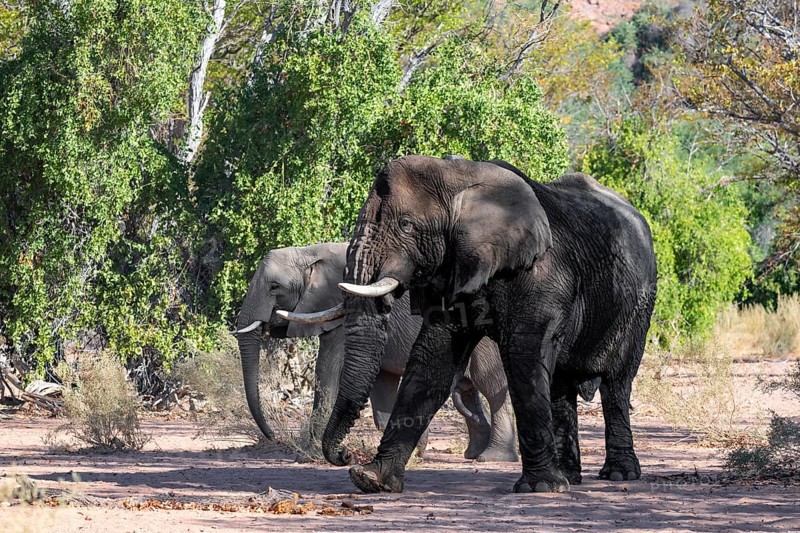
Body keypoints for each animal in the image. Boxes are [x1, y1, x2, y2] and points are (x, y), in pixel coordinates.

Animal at [234, 242, 518, 462]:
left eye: (274, 287)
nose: (271, 436)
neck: (309, 252)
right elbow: (381, 388)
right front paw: (410, 452)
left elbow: (327, 372)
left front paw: (307, 454)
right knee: (469, 391)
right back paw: (472, 453)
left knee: (492, 388)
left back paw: (492, 458)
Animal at [313, 155, 657, 494]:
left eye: (406, 225)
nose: (345, 456)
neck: (460, 176)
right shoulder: (453, 270)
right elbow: (431, 362)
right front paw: (372, 479)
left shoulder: (541, 275)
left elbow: (524, 358)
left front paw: (539, 487)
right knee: (561, 385)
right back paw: (570, 477)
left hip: (639, 307)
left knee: (616, 383)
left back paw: (618, 474)